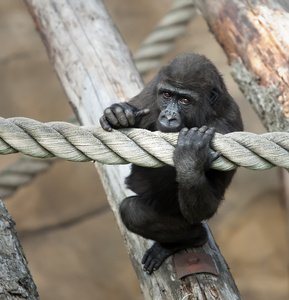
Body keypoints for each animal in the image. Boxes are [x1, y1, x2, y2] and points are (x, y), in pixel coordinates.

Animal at [100, 52, 242, 274]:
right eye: (166, 95)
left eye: (185, 100)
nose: (168, 116)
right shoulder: (155, 86)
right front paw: (118, 113)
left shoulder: (225, 127)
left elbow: (207, 207)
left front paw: (190, 160)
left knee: (134, 212)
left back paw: (189, 239)